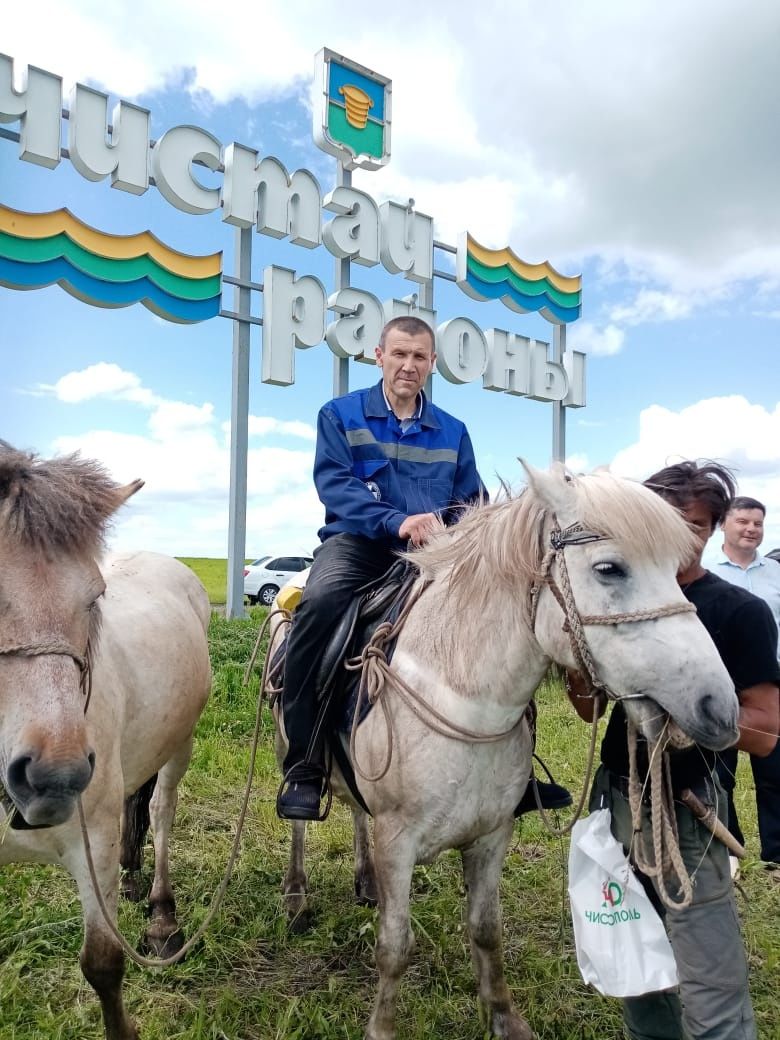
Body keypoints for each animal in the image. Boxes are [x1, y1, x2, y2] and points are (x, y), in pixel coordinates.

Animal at [0, 447, 212, 1040]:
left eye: (95, 597)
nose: (54, 779)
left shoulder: (89, 846)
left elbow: (103, 963)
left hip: (180, 744)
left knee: (160, 811)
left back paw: (161, 913)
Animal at [272, 467, 740, 1040]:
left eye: (678, 571)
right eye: (609, 569)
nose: (719, 708)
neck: (458, 690)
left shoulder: (492, 834)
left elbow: (486, 930)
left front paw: (503, 1018)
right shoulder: (398, 842)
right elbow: (394, 947)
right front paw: (382, 1028)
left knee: (358, 817)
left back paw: (363, 880)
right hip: (289, 752)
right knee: (299, 822)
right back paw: (296, 896)